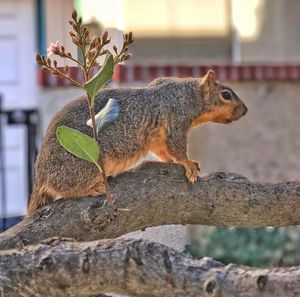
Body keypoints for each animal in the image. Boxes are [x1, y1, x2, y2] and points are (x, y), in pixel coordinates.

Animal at [26, 70, 246, 216]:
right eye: (226, 95)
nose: (245, 111)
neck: (189, 95)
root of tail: (40, 175)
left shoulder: (157, 137)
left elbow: (163, 151)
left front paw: (172, 162)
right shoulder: (175, 120)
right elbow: (177, 147)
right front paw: (188, 164)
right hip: (81, 166)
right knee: (67, 188)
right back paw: (92, 188)